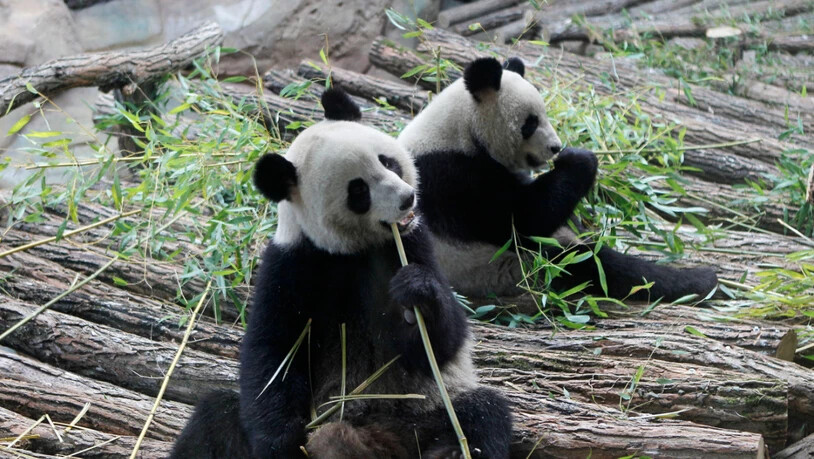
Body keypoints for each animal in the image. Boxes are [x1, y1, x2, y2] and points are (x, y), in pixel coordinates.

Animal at [170, 88, 512, 459]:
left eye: (387, 162)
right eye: (358, 190)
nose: (407, 199)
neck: (351, 250)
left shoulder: (413, 244)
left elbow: (438, 345)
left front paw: (417, 291)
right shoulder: (291, 266)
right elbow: (273, 355)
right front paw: (281, 444)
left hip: (426, 415)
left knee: (482, 413)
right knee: (214, 415)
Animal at [398, 57, 718, 303]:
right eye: (530, 123)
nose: (555, 147)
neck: (461, 128)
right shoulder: (455, 177)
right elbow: (521, 220)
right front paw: (580, 159)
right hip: (505, 268)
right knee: (590, 264)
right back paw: (698, 281)